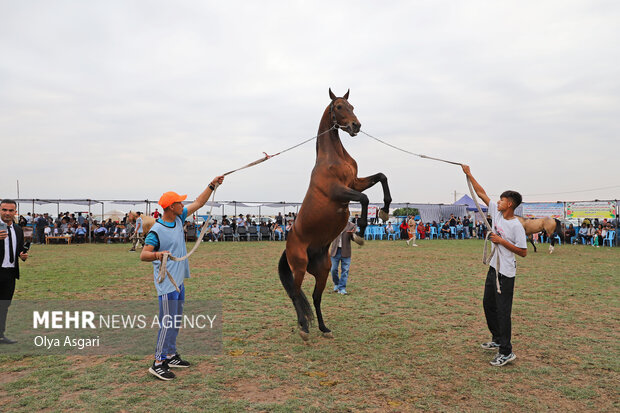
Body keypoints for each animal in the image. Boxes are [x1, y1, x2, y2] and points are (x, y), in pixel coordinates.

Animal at [278, 89, 390, 342]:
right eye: (338, 107)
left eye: (352, 105)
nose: (356, 125)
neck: (332, 157)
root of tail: (288, 246)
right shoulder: (339, 191)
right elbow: (364, 199)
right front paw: (360, 233)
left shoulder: (355, 182)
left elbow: (381, 176)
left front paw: (386, 211)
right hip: (299, 267)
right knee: (296, 293)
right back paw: (303, 328)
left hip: (322, 270)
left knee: (315, 296)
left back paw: (323, 328)